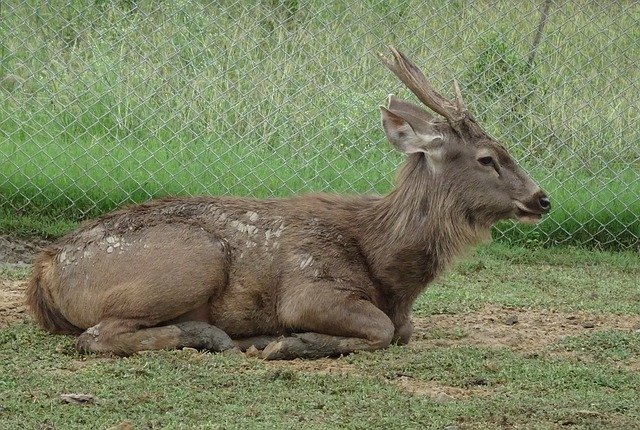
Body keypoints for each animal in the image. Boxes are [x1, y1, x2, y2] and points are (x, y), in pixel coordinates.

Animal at [26, 47, 552, 360]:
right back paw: (216, 336)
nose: (542, 198)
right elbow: (383, 329)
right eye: (488, 158)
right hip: (191, 258)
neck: (388, 269)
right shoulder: (311, 287)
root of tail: (45, 269)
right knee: (96, 337)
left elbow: (403, 330)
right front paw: (290, 342)